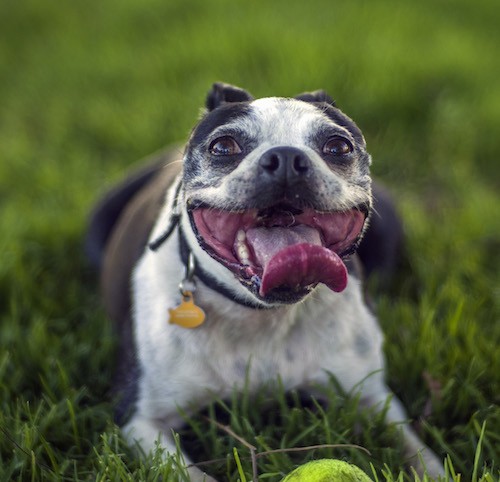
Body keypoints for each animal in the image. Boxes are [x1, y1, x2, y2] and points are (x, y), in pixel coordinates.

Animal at [86, 84, 442, 482]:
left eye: (338, 146)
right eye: (223, 147)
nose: (286, 158)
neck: (260, 316)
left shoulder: (373, 397)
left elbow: (419, 451)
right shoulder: (142, 418)